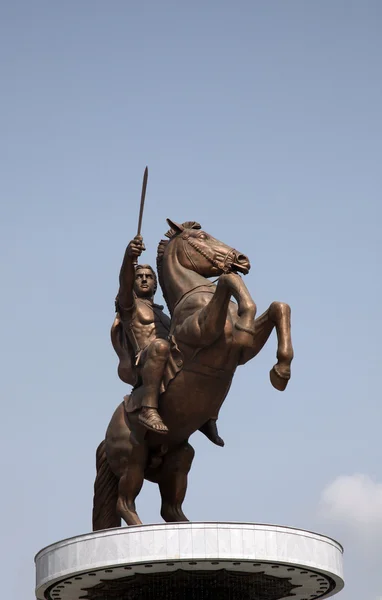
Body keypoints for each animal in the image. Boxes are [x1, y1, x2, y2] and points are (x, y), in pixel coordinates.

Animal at [92, 220, 292, 528]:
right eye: (202, 236)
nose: (242, 259)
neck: (195, 296)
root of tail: (106, 435)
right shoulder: (206, 332)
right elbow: (229, 281)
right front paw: (246, 318)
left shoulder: (242, 352)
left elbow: (279, 307)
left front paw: (281, 371)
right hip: (132, 460)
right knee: (125, 503)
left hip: (179, 459)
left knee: (170, 509)